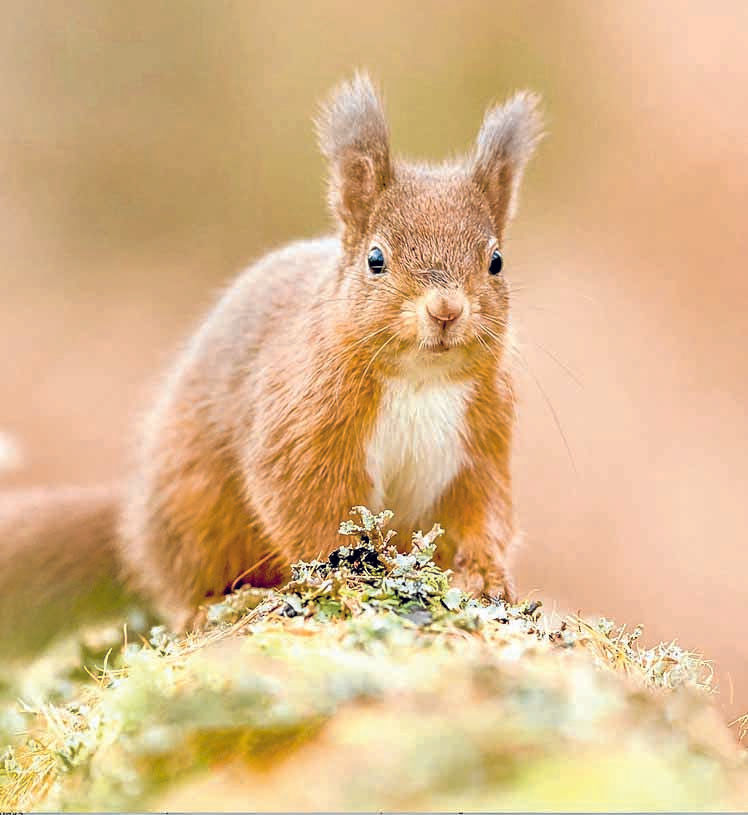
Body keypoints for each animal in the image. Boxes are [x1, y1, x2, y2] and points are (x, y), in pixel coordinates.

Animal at [0, 74, 542, 654]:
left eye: (496, 261)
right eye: (375, 259)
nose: (445, 310)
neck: (420, 379)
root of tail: (131, 518)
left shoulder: (481, 443)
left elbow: (484, 513)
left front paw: (485, 575)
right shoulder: (302, 425)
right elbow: (304, 505)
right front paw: (348, 578)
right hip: (192, 512)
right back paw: (213, 605)